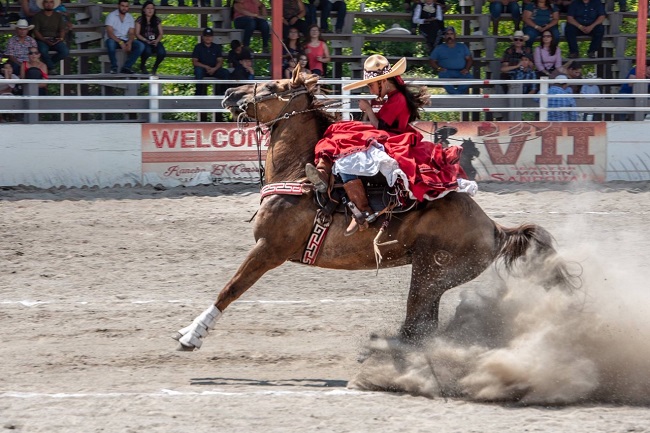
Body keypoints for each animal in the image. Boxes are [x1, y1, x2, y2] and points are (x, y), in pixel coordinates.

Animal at [171, 71, 576, 352]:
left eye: (272, 87)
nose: (228, 93)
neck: (299, 173)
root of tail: (494, 228)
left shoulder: (269, 249)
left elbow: (230, 288)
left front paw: (192, 334)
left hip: (430, 272)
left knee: (417, 325)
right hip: (432, 278)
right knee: (421, 326)